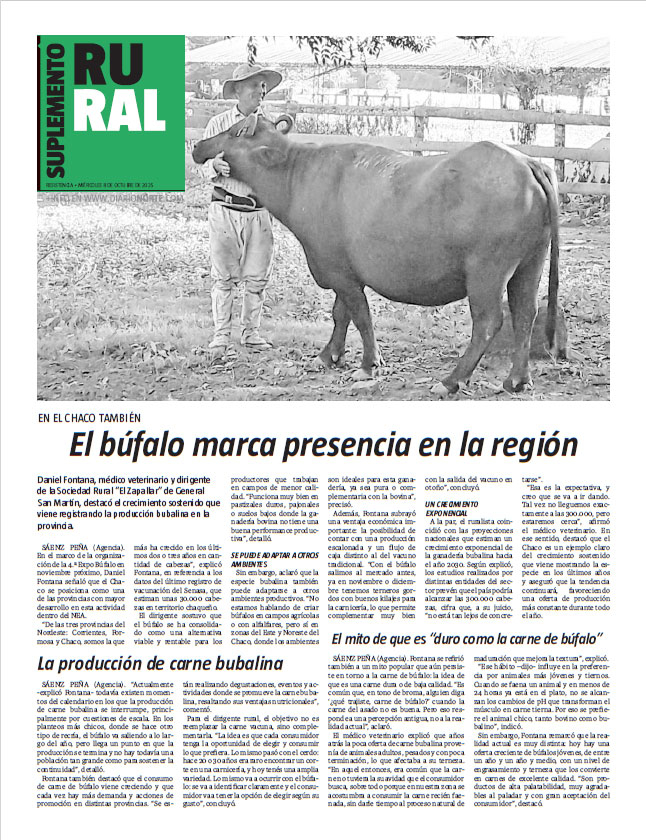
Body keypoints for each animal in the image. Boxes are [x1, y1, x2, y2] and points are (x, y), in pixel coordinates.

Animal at [193, 114, 567, 395]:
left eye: (236, 131)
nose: (199, 145)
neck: (297, 176)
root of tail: (527, 163)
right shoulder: (342, 270)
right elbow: (340, 314)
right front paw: (328, 356)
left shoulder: (339, 270)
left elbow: (359, 315)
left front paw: (368, 365)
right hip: (529, 264)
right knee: (525, 314)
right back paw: (517, 380)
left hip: (487, 271)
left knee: (489, 321)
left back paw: (451, 381)